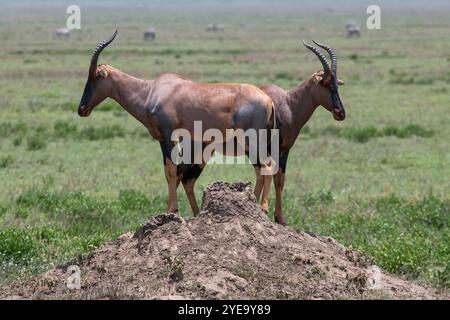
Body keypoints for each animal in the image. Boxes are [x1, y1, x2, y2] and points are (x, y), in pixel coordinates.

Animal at [78, 30, 276, 215]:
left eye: (94, 76)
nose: (81, 109)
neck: (152, 91)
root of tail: (268, 100)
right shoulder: (161, 138)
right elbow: (168, 171)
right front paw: (169, 210)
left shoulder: (169, 135)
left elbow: (173, 171)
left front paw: (172, 210)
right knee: (260, 169)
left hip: (251, 139)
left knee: (267, 165)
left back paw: (264, 207)